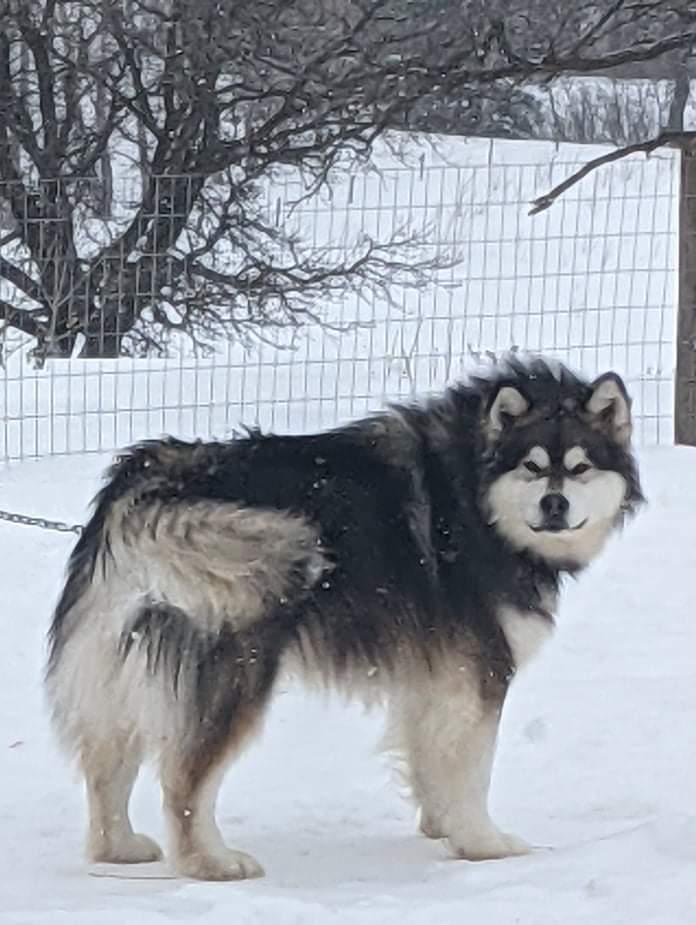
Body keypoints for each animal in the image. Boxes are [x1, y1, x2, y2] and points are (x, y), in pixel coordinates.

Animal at [43, 354, 640, 880]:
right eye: (532, 467)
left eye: (580, 468)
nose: (555, 505)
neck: (473, 495)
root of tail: (149, 479)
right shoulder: (479, 673)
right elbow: (472, 769)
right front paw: (483, 843)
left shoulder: (435, 673)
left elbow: (431, 759)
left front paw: (443, 826)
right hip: (236, 673)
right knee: (185, 781)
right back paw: (210, 863)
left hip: (110, 665)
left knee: (106, 764)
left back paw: (118, 848)